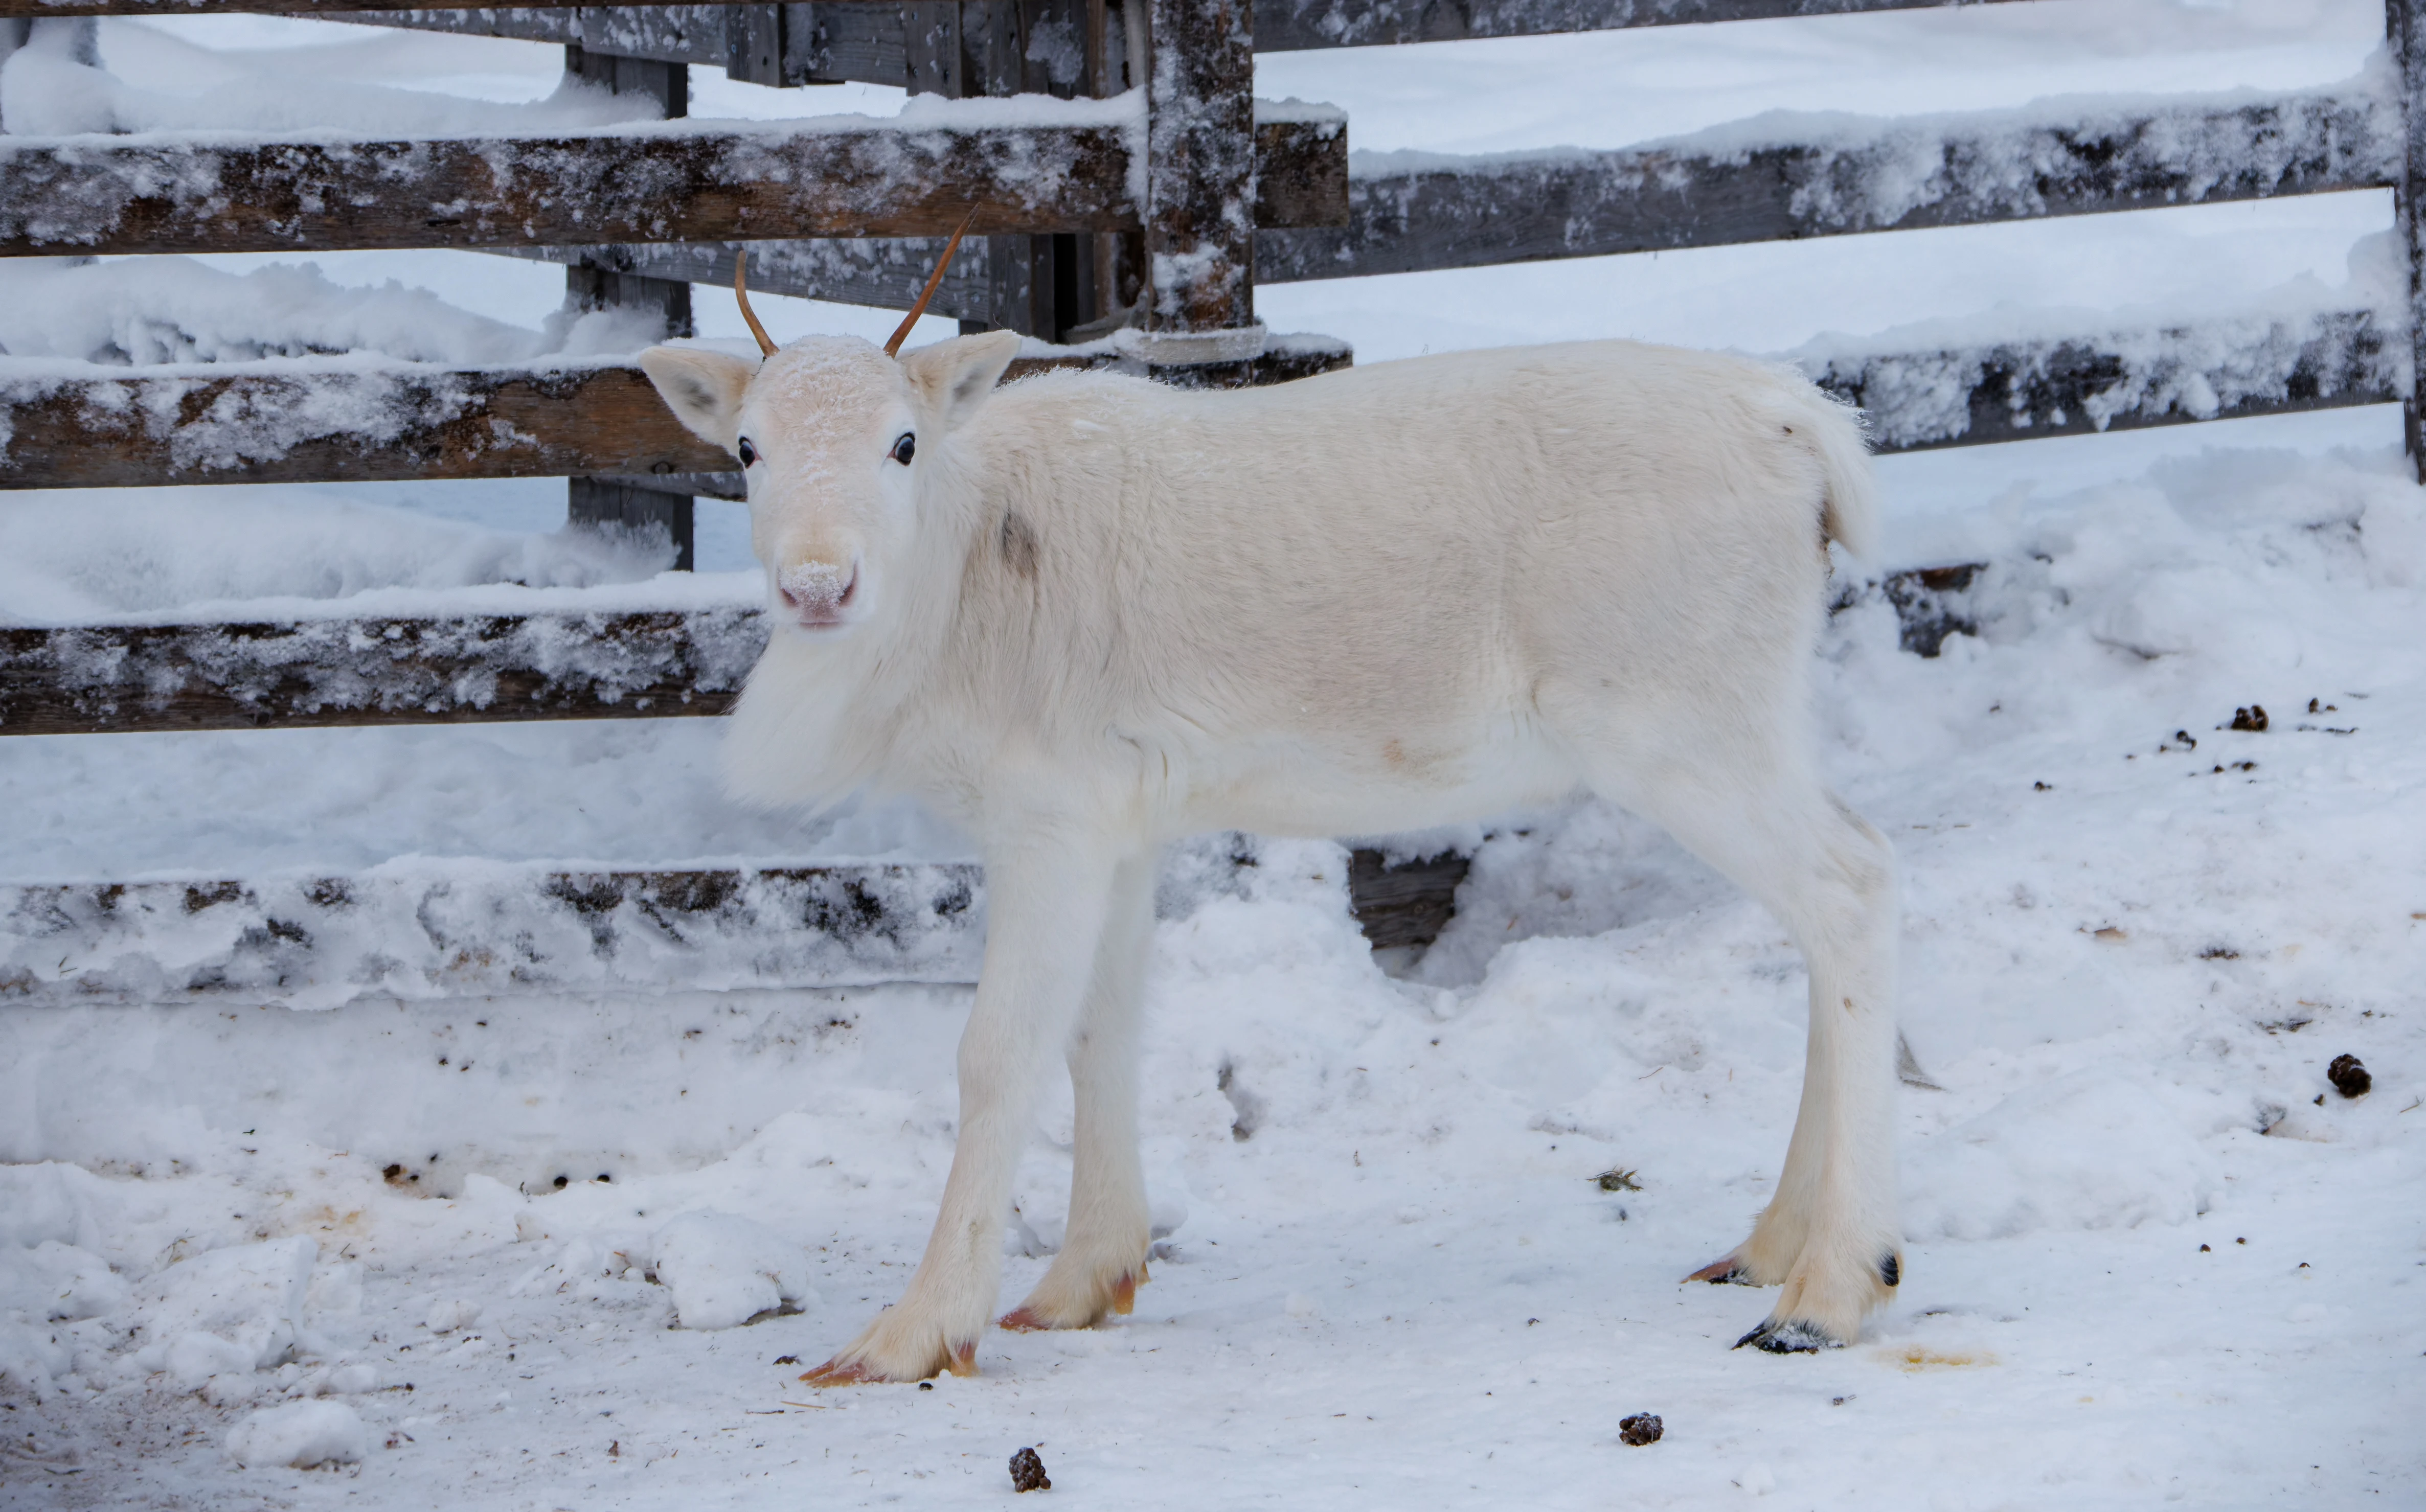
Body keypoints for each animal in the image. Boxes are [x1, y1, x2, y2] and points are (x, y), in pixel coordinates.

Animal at [635, 227, 1903, 1384]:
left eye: (901, 444)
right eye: (745, 448)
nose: (816, 585)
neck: (951, 595)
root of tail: (1803, 426)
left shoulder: (1045, 812)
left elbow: (998, 1052)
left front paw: (907, 1335)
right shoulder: (1120, 823)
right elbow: (1101, 1031)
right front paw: (1082, 1280)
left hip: (1679, 725)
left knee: (1847, 891)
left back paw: (1829, 1289)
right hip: (1745, 719)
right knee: (1842, 883)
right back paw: (1769, 1241)